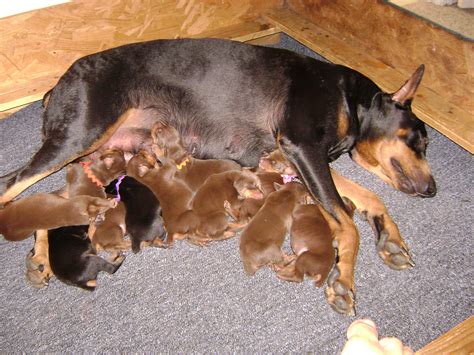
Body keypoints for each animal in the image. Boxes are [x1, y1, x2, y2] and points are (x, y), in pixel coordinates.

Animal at [0, 38, 436, 314]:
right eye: (420, 139)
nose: (433, 189)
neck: (349, 98)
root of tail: (57, 86)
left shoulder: (297, 155)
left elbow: (366, 199)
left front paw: (391, 239)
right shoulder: (301, 145)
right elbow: (346, 222)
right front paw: (343, 277)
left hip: (100, 148)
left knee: (60, 199)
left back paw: (41, 258)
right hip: (80, 134)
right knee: (13, 184)